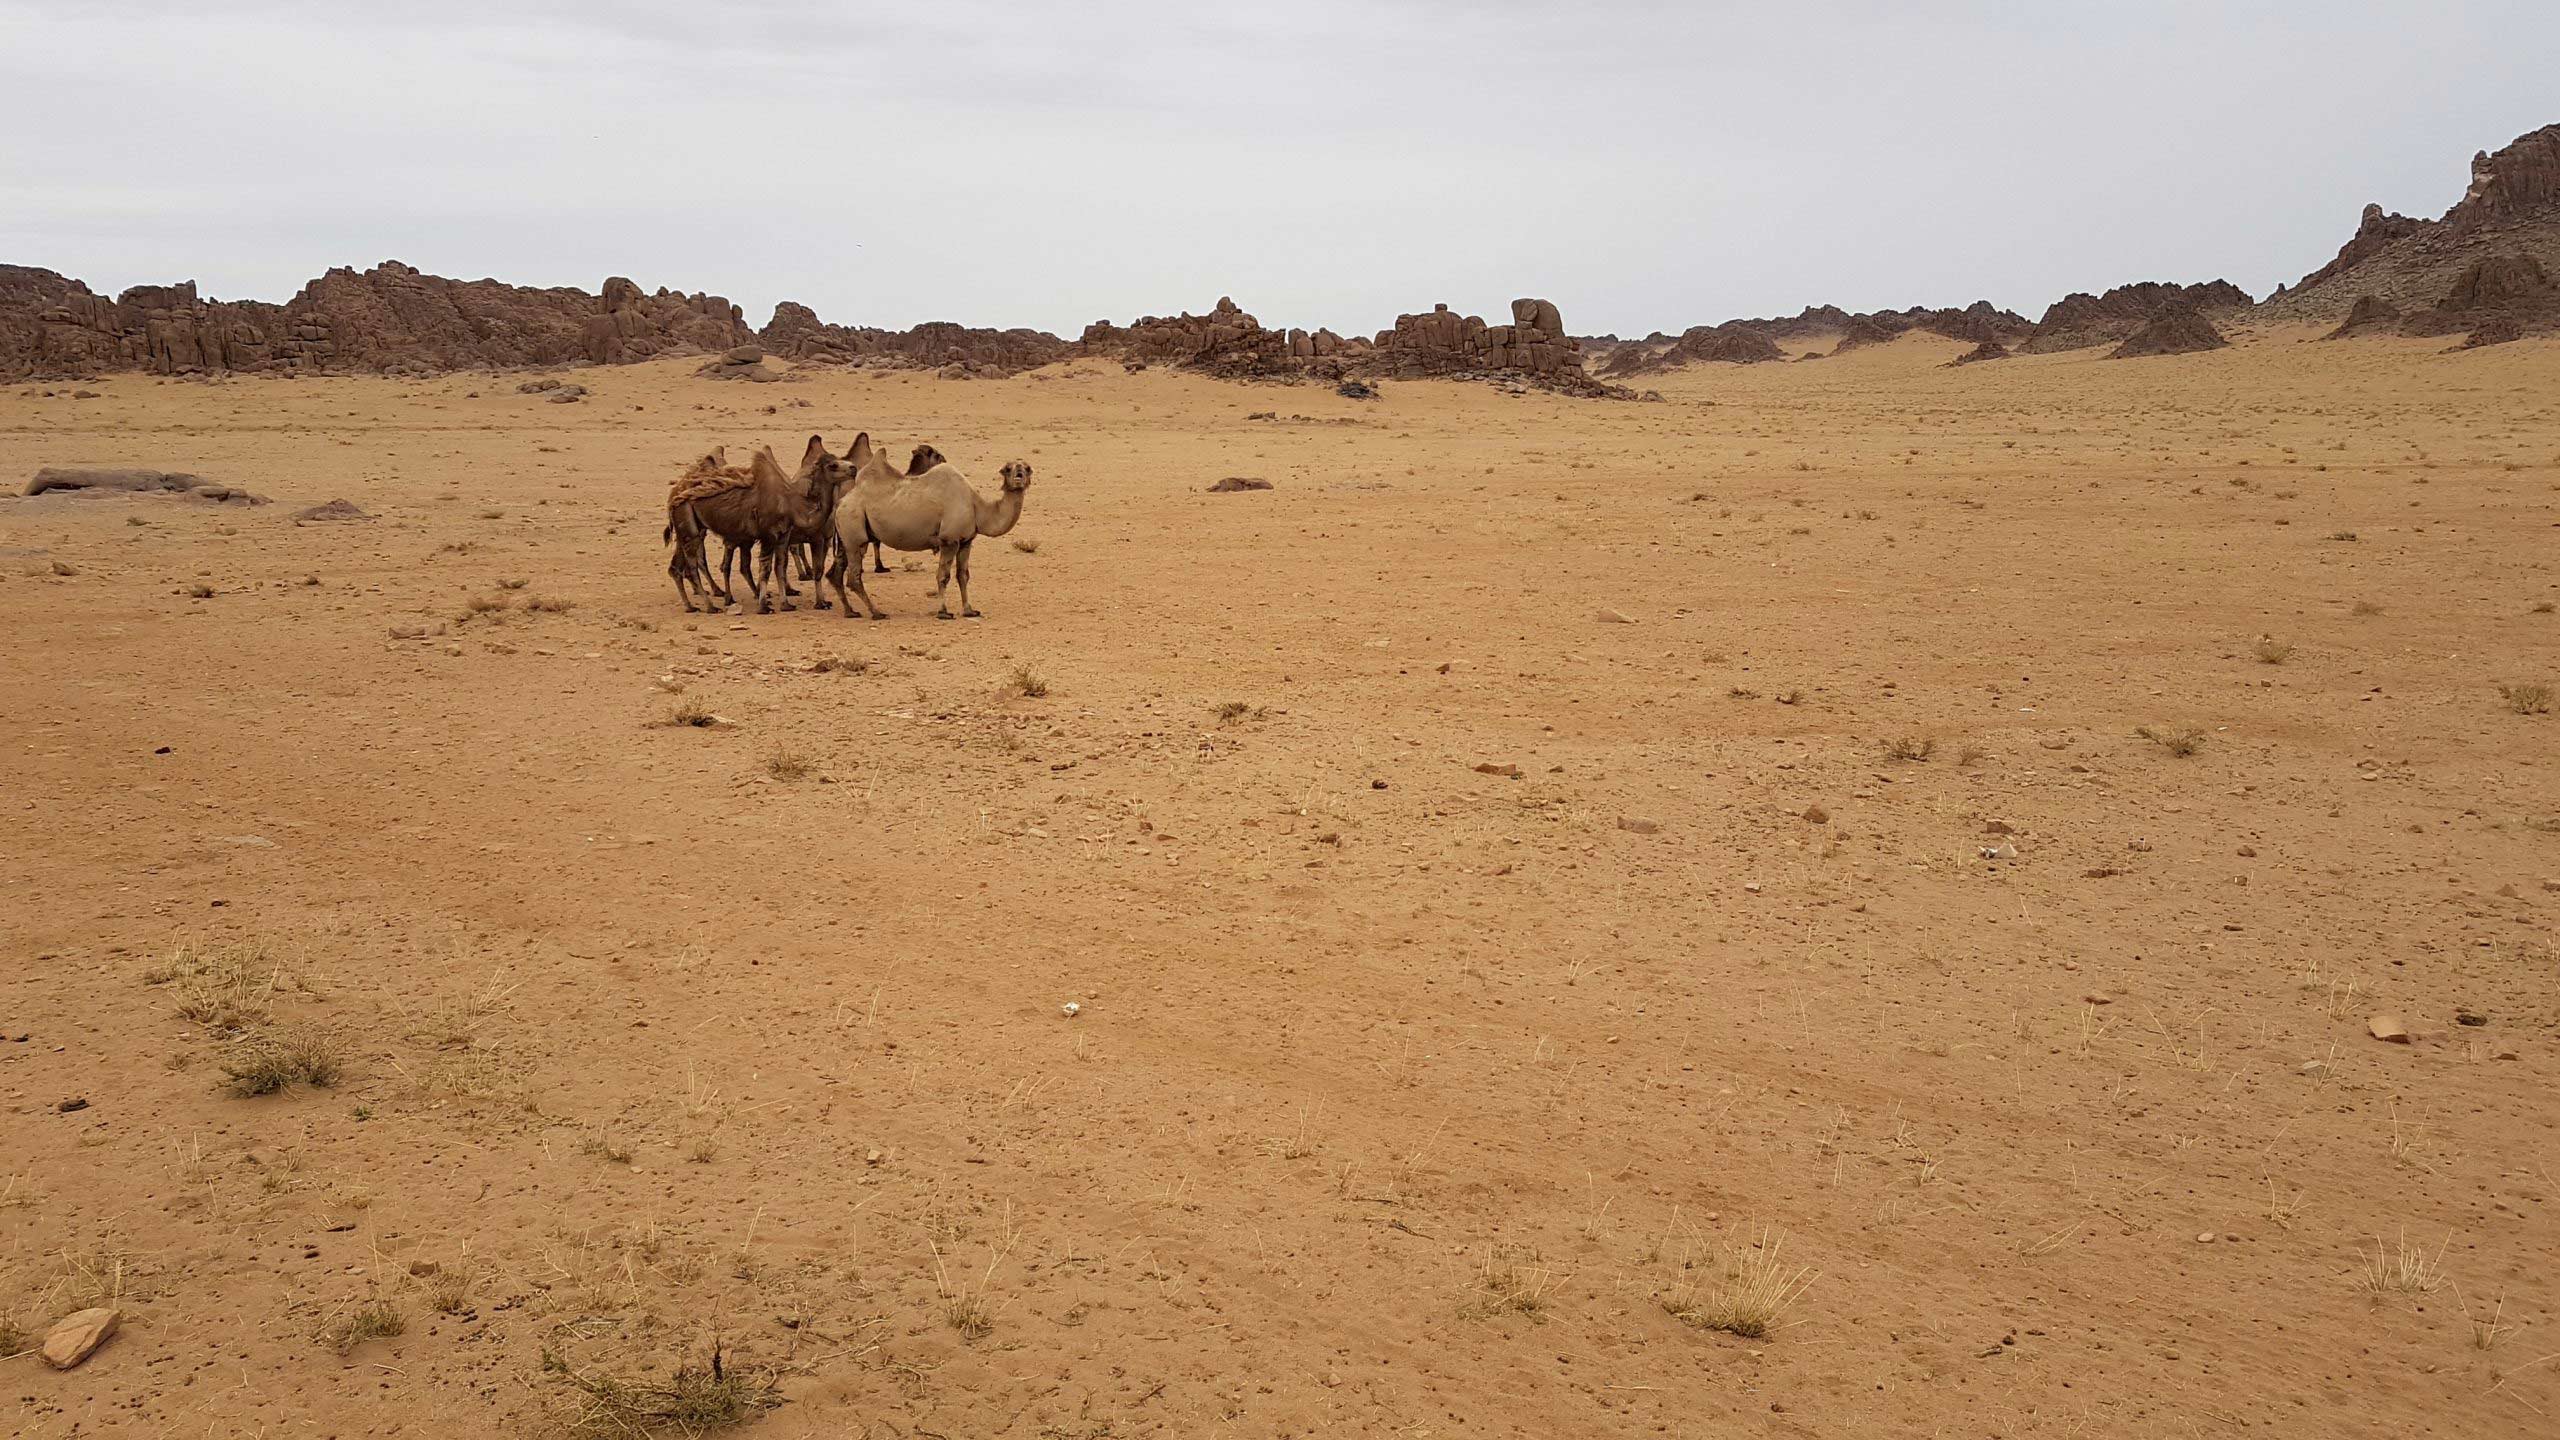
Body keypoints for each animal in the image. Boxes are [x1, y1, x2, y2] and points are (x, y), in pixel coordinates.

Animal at [664, 436, 857, 613]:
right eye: (833, 465)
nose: (853, 468)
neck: (792, 505)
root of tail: (675, 493)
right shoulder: (769, 536)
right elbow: (766, 569)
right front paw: (764, 606)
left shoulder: (784, 536)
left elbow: (780, 567)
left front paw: (788, 604)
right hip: (689, 522)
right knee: (695, 566)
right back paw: (713, 605)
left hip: (693, 529)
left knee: (678, 567)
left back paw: (691, 605)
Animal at [825, 442, 1032, 620]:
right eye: (1007, 468)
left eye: (1028, 468)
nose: (1019, 474)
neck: (977, 506)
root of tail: (841, 502)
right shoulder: (949, 540)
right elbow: (943, 576)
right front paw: (944, 612)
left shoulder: (966, 541)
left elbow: (963, 576)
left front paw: (969, 610)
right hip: (854, 529)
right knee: (853, 577)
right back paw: (877, 613)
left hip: (846, 536)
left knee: (835, 573)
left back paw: (850, 611)